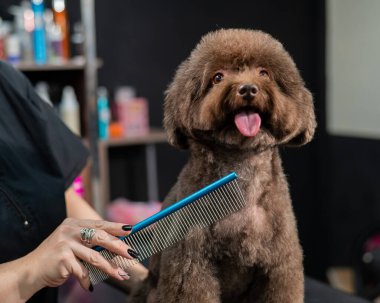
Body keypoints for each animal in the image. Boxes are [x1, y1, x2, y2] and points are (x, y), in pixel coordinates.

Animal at [132, 28, 316, 303]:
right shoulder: (191, 264)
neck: (241, 172)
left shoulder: (279, 266)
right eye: (218, 77)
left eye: (264, 73)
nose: (248, 89)